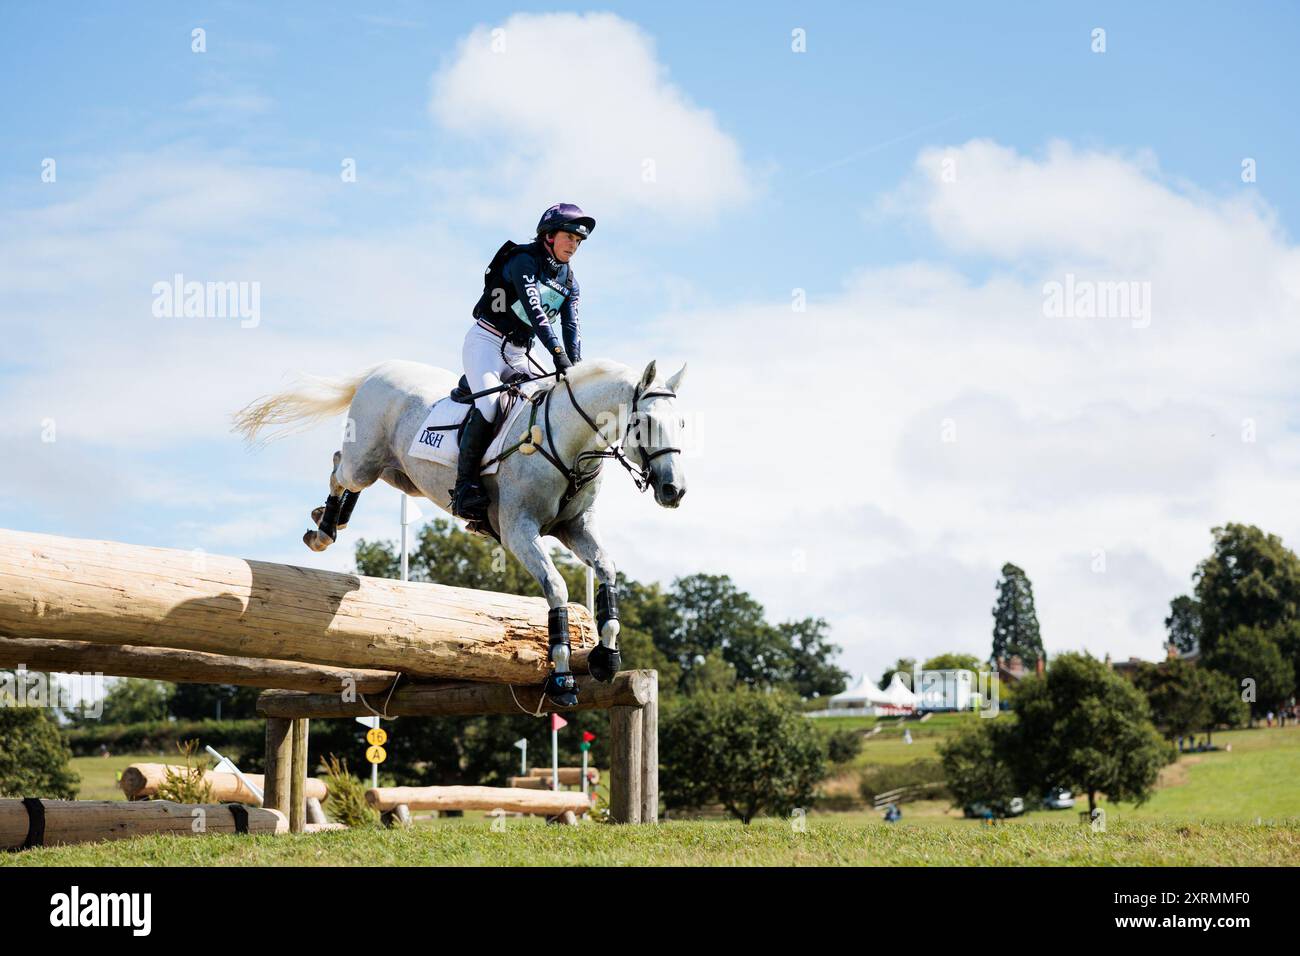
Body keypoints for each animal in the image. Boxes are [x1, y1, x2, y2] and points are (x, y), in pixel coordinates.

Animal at [231, 358, 691, 712]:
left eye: (682, 423)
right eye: (646, 422)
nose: (675, 491)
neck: (567, 442)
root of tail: (379, 370)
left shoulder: (576, 528)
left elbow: (608, 571)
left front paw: (607, 657)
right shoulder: (519, 531)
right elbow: (557, 588)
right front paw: (562, 679)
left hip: (398, 474)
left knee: (346, 468)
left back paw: (333, 518)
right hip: (367, 460)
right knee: (340, 466)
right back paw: (324, 529)